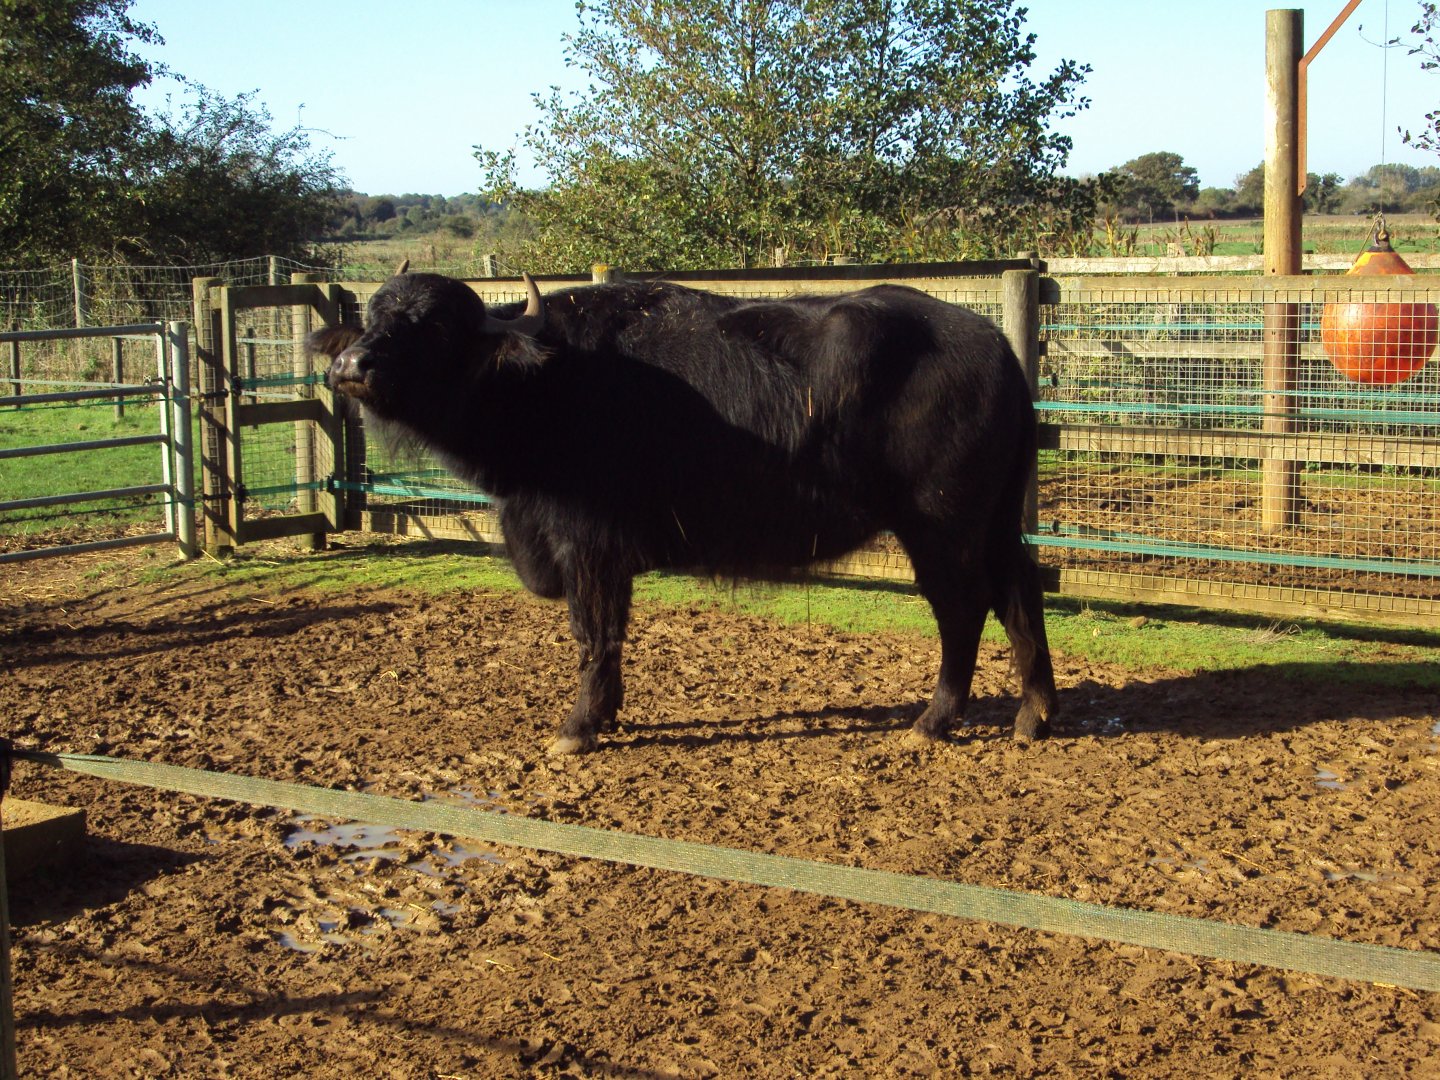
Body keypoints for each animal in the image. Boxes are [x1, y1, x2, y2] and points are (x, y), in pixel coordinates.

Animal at [308, 268, 1058, 754]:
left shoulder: (588, 547)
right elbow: (611, 633)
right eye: (372, 318)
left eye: (434, 326)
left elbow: (593, 632)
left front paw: (578, 728)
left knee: (963, 609)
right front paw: (607, 713)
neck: (540, 383)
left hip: (941, 525)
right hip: (993, 522)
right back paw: (1034, 716)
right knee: (1020, 593)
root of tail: (999, 350)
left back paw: (934, 721)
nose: (350, 366)